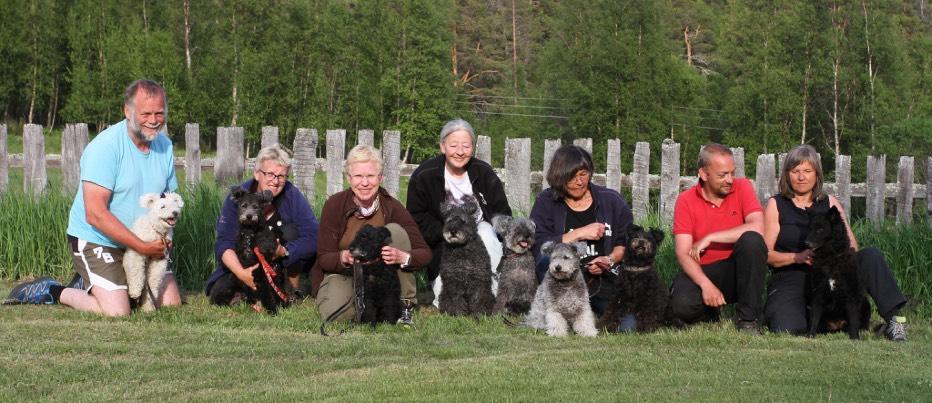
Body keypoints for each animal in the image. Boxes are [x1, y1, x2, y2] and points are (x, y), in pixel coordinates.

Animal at [804, 205, 872, 340]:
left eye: (820, 229)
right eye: (809, 228)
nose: (806, 243)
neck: (830, 258)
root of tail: (837, 326)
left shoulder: (851, 294)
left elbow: (854, 319)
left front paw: (855, 338)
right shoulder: (818, 293)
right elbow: (814, 317)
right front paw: (810, 335)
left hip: (866, 304)